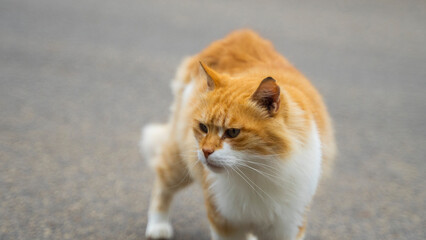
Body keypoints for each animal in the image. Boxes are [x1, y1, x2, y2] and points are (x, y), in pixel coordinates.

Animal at [141, 29, 334, 239]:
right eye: (203, 128)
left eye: (233, 132)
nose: (206, 152)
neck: (255, 172)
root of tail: (242, 34)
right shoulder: (224, 223)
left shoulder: (287, 227)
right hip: (180, 161)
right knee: (162, 184)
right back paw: (158, 226)